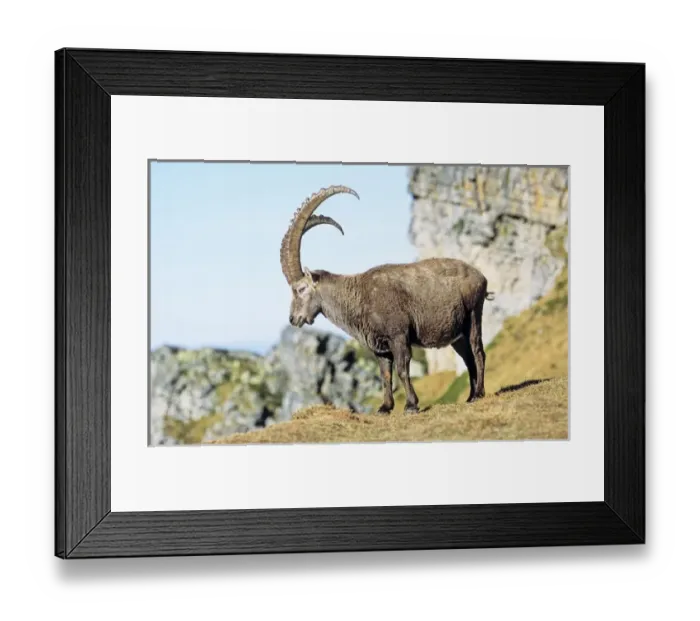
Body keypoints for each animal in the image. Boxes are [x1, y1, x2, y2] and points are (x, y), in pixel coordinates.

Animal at [280, 185, 490, 413]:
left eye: (301, 289)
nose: (293, 319)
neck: (358, 295)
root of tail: (480, 276)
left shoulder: (399, 336)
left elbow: (402, 369)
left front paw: (411, 405)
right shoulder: (380, 347)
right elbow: (385, 374)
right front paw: (385, 407)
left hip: (474, 314)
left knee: (478, 352)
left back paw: (478, 394)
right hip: (457, 334)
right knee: (468, 358)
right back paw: (470, 396)